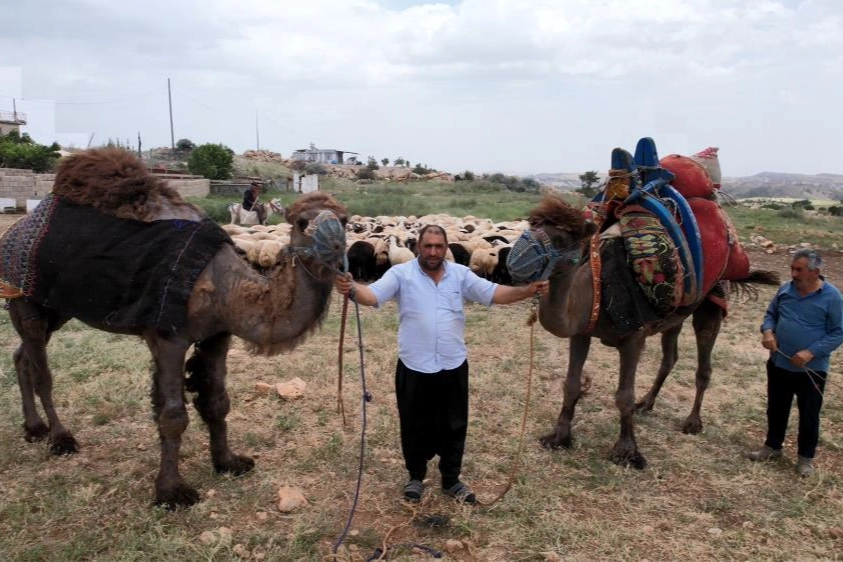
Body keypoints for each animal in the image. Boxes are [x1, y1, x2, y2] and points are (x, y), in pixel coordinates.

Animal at [2, 147, 346, 506]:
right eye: (302, 222)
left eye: (345, 219)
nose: (336, 243)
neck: (228, 286)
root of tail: (16, 228)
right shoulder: (169, 337)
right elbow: (172, 417)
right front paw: (172, 492)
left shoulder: (217, 335)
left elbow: (217, 402)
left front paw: (228, 462)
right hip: (23, 295)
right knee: (42, 371)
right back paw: (60, 439)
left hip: (57, 306)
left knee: (22, 356)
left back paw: (33, 429)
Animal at [508, 195, 780, 466]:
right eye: (531, 226)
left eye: (561, 239)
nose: (512, 262)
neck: (598, 289)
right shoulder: (581, 331)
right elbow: (571, 384)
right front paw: (559, 437)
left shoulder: (633, 338)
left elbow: (624, 395)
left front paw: (627, 451)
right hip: (673, 318)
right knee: (670, 357)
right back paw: (647, 403)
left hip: (711, 300)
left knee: (704, 362)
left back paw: (692, 422)